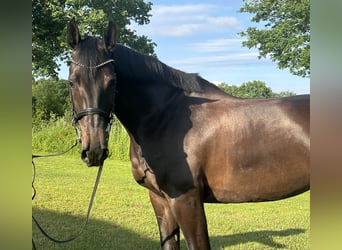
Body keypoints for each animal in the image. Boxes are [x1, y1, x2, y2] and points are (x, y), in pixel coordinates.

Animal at [65, 20, 308, 250]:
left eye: (112, 82)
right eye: (72, 82)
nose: (94, 150)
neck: (164, 118)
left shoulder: (186, 200)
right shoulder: (160, 199)